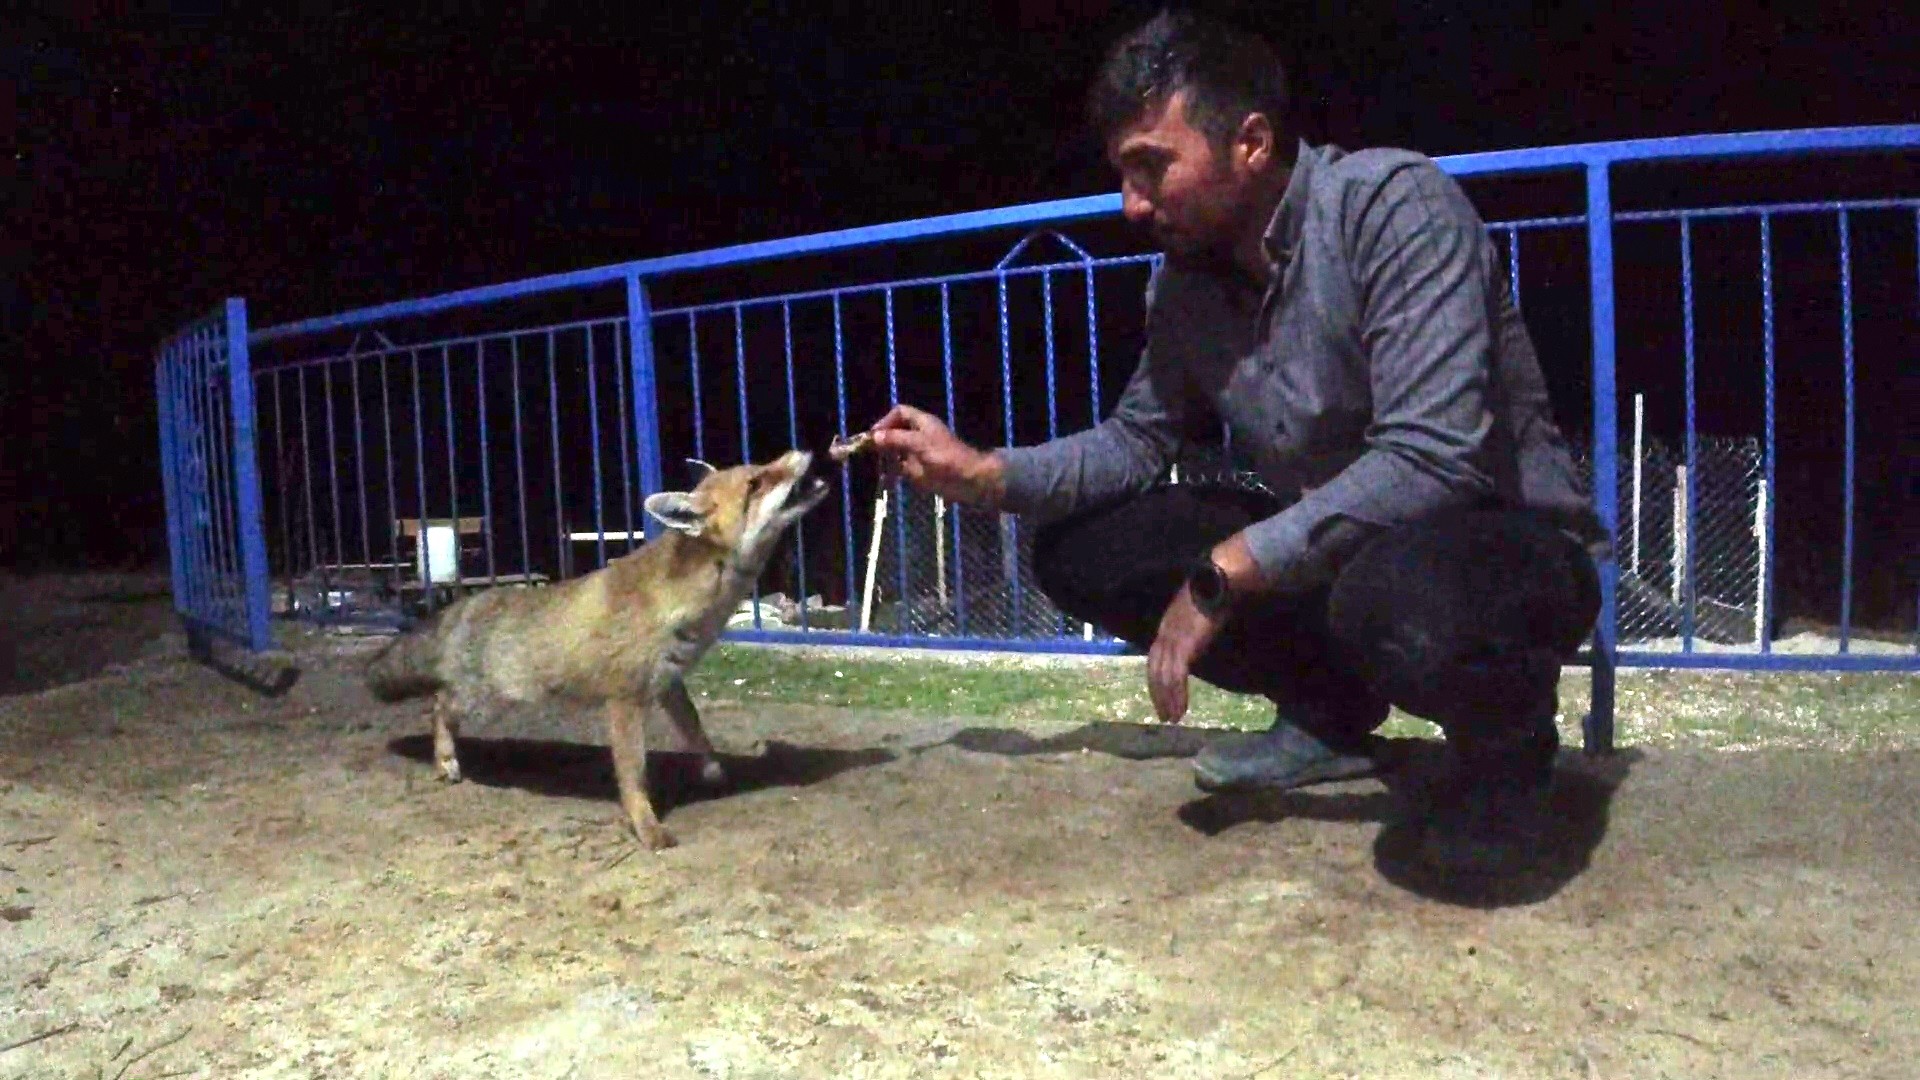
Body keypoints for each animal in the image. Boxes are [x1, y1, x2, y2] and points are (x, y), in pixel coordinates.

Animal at [366, 445, 833, 849]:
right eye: (756, 482)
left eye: (762, 467)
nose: (801, 450)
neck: (693, 605)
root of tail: (465, 603)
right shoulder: (624, 700)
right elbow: (633, 776)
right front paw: (646, 828)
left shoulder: (669, 682)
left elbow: (697, 732)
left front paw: (714, 771)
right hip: (488, 700)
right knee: (438, 705)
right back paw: (445, 761)